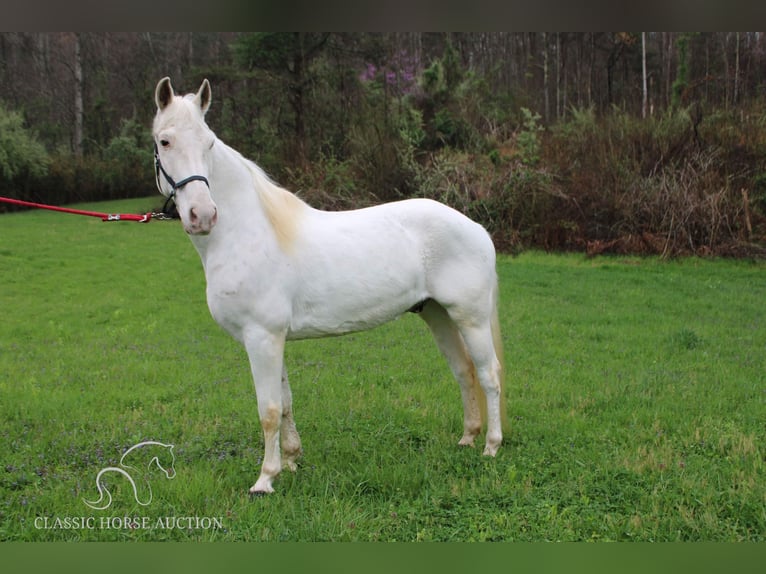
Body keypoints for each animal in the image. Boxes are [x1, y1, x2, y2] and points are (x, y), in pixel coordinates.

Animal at [152, 79, 508, 498]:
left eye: (208, 143)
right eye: (164, 141)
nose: (202, 215)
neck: (249, 232)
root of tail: (477, 228)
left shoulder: (261, 337)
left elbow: (268, 410)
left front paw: (265, 479)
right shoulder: (273, 338)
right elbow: (286, 403)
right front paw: (291, 461)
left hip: (471, 319)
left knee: (489, 374)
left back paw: (491, 446)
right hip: (438, 315)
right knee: (464, 372)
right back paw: (468, 438)